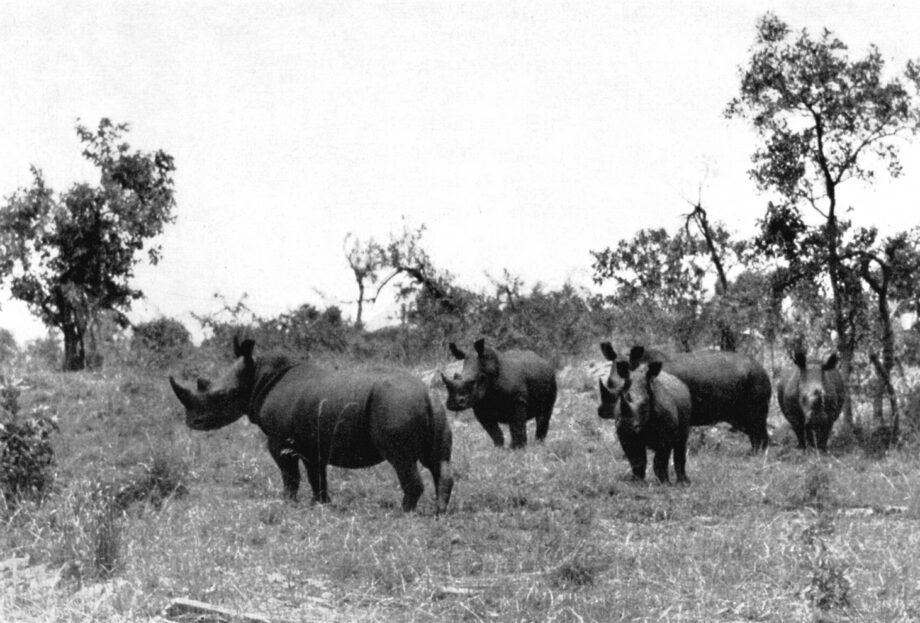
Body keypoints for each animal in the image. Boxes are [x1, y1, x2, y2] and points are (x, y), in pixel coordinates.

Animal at [169, 338, 453, 513]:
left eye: (220, 396)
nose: (192, 422)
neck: (257, 376)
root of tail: (426, 394)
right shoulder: (312, 442)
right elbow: (316, 475)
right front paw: (321, 504)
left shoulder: (280, 441)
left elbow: (290, 475)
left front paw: (287, 503)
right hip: (432, 409)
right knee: (438, 461)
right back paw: (439, 513)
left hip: (396, 405)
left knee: (401, 460)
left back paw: (403, 513)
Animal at [597, 349, 692, 483]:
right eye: (621, 400)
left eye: (645, 403)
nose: (627, 426)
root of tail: (680, 382)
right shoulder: (624, 435)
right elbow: (636, 460)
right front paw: (636, 481)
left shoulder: (666, 432)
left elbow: (660, 459)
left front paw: (665, 483)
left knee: (681, 442)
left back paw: (683, 482)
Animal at [600, 343, 772, 451]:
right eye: (609, 383)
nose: (603, 412)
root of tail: (762, 368)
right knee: (750, 425)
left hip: (756, 379)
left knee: (756, 421)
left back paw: (756, 456)